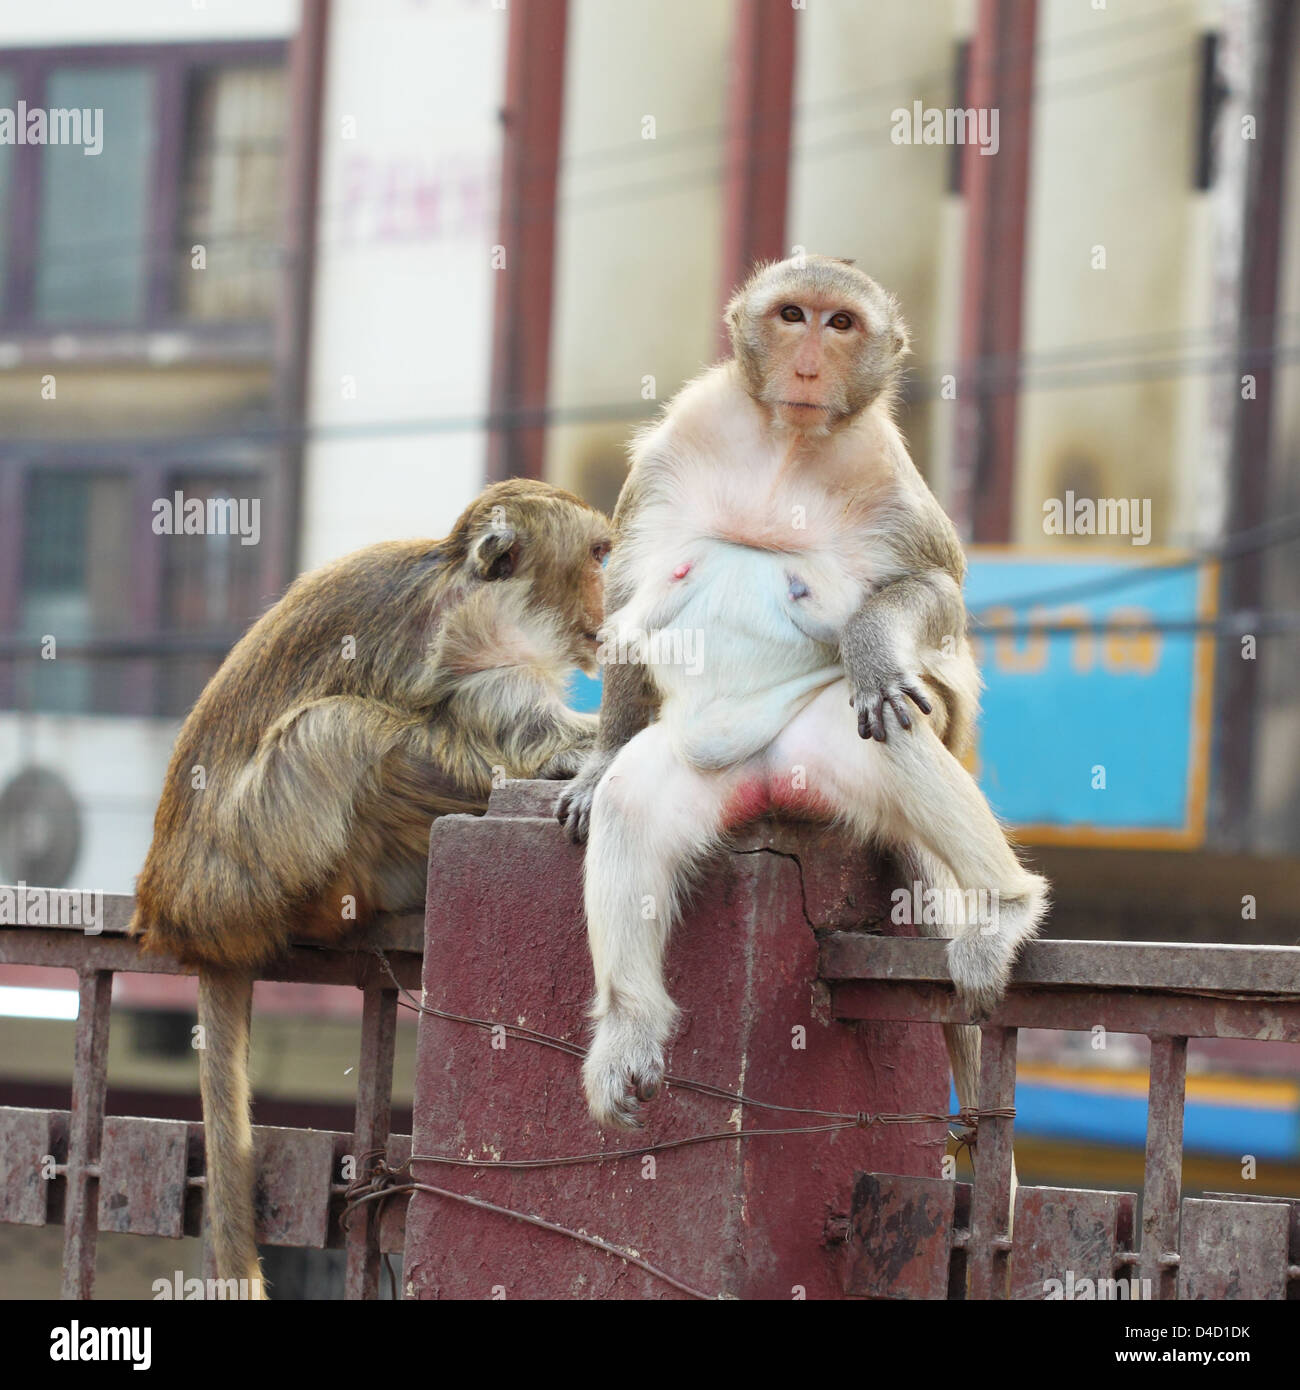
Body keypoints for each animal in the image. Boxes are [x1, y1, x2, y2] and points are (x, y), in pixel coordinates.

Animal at [132, 478, 614, 1289]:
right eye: (600, 555)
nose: (614, 597)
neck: (470, 592)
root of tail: (183, 921)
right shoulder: (481, 664)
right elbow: (508, 731)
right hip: (257, 862)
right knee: (336, 730)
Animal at [556, 258, 1045, 1128]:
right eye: (793, 315)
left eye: (840, 323)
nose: (810, 363)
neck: (786, 443)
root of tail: (770, 783)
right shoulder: (676, 445)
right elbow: (625, 594)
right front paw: (600, 755)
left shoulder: (887, 476)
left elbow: (938, 594)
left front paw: (871, 645)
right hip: (709, 773)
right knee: (634, 809)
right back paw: (629, 1033)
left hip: (818, 749)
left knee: (890, 736)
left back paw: (1004, 912)